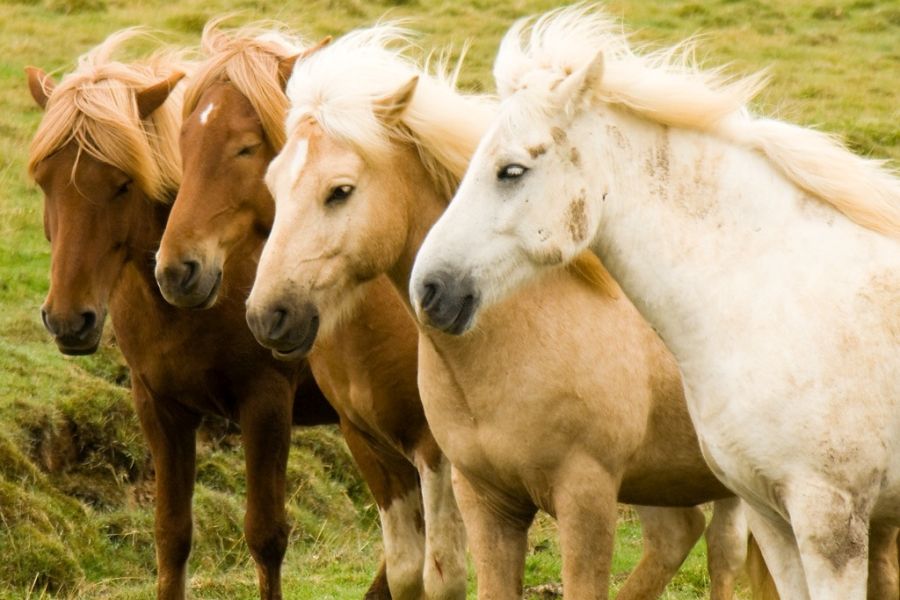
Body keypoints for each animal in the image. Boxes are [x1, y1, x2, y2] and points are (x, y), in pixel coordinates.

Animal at [23, 30, 371, 600]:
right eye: (44, 182)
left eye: (123, 183)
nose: (68, 320)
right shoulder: (159, 407)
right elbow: (171, 534)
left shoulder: (266, 404)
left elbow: (266, 536)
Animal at [152, 21, 467, 600]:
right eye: (182, 142)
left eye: (245, 148)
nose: (176, 270)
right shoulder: (369, 443)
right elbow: (407, 570)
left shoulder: (436, 451)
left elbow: (444, 575)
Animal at [245, 24, 760, 599]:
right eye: (272, 185)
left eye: (340, 191)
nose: (268, 314)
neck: (521, 336)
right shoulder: (487, 502)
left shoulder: (585, 499)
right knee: (677, 535)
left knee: (721, 552)